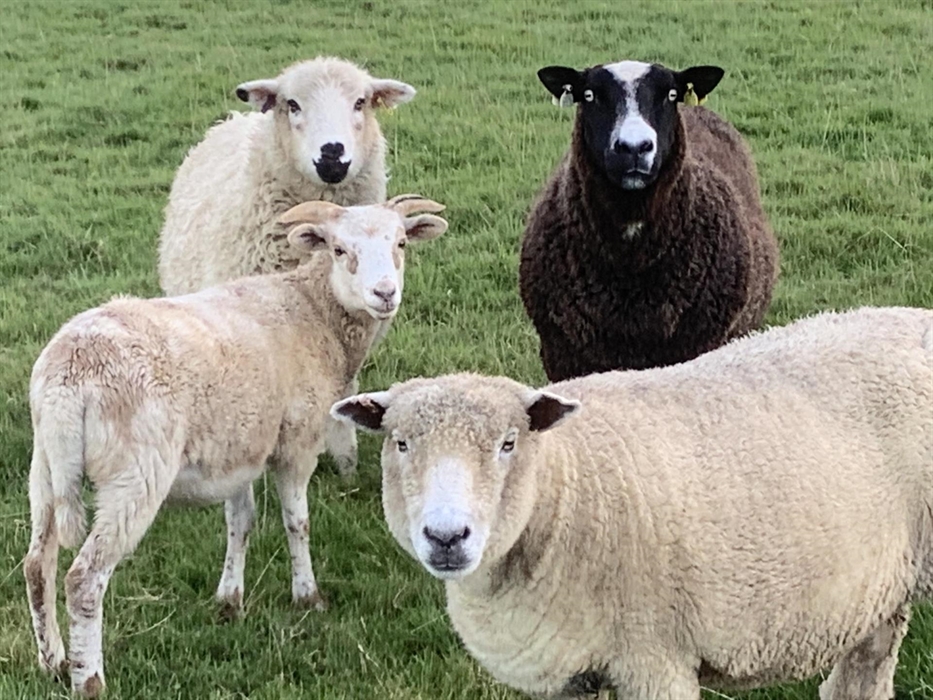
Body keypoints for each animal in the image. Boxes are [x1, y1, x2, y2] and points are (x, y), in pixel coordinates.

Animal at [24, 196, 447, 698]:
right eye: (340, 250)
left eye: (401, 243)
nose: (385, 294)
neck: (313, 311)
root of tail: (70, 376)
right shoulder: (298, 439)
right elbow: (297, 523)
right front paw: (307, 596)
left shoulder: (238, 450)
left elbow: (240, 522)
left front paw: (230, 599)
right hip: (135, 474)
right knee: (84, 579)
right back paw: (88, 678)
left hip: (45, 468)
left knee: (37, 565)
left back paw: (52, 660)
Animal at [158, 56, 416, 479]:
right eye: (292, 104)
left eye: (361, 102)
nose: (332, 156)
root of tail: (234, 118)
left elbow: (341, 395)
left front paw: (346, 466)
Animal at [332, 306, 933, 700]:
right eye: (400, 443)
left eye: (508, 444)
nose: (446, 537)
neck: (567, 483)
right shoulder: (571, 675)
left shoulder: (655, 659)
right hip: (880, 588)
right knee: (865, 673)